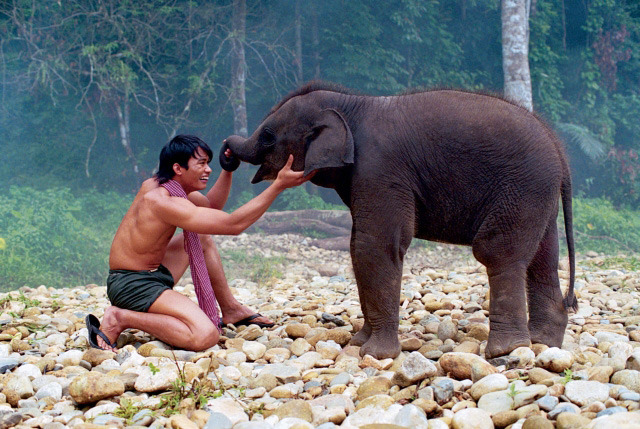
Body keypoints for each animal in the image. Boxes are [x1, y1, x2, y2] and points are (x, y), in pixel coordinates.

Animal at [224, 80, 576, 358]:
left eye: (268, 136)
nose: (225, 152)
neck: (352, 103)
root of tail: (559, 149)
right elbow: (357, 247)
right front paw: (359, 344)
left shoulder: (380, 169)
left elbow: (374, 245)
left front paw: (376, 354)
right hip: (536, 194)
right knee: (543, 257)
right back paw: (542, 342)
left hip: (522, 186)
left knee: (497, 252)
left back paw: (506, 351)